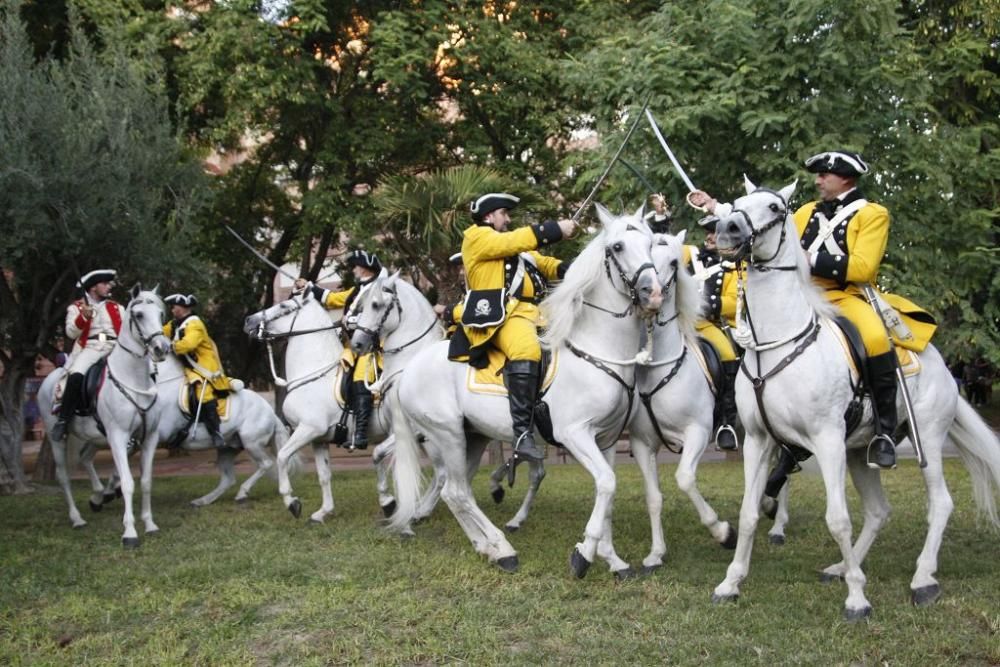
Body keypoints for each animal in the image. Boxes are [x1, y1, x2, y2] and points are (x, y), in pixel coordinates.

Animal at [36, 286, 171, 548]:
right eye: (139, 314)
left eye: (161, 314)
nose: (162, 348)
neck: (133, 377)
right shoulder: (118, 436)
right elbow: (128, 483)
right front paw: (130, 532)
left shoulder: (149, 437)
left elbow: (146, 481)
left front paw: (149, 524)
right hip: (59, 438)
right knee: (63, 476)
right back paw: (77, 518)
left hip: (95, 437)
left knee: (85, 459)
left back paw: (98, 495)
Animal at [390, 206, 664, 576]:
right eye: (618, 246)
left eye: (651, 243)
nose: (654, 293)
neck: (596, 347)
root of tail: (407, 371)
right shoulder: (574, 434)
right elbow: (607, 484)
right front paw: (584, 554)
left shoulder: (605, 439)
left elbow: (606, 492)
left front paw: (611, 558)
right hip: (447, 435)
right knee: (458, 493)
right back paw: (503, 549)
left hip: (472, 437)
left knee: (454, 492)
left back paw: (486, 546)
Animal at [628, 231, 740, 576]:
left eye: (674, 263)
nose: (650, 296)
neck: (658, 367)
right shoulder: (641, 443)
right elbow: (653, 497)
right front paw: (656, 553)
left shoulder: (698, 432)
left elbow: (685, 478)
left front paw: (724, 533)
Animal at [712, 179, 1000, 620]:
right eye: (736, 203)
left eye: (775, 208)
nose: (726, 229)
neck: (775, 345)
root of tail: (941, 364)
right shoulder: (759, 442)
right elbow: (748, 513)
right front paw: (731, 582)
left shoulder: (826, 440)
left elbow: (838, 519)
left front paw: (857, 600)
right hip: (860, 453)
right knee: (880, 511)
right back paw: (844, 568)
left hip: (928, 441)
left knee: (941, 504)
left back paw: (922, 578)